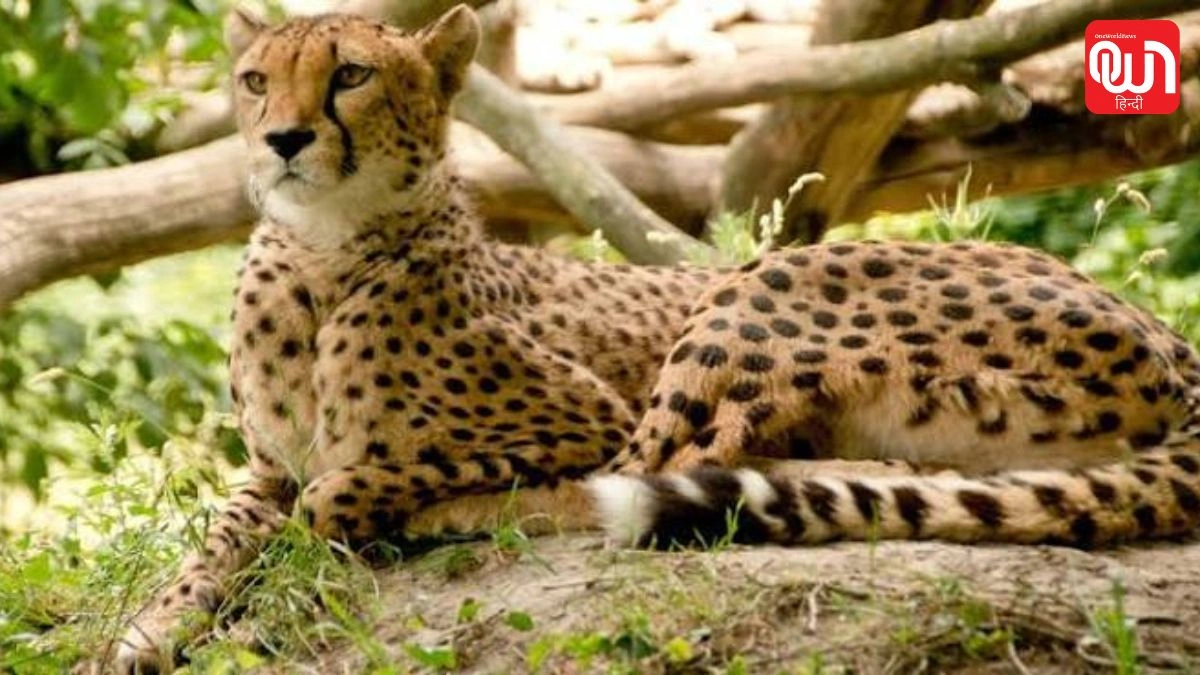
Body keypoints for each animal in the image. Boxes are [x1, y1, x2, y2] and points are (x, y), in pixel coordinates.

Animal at [113, 4, 1200, 672]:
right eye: (256, 80)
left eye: (349, 75)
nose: (281, 140)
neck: (319, 256)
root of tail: (1170, 341)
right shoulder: (266, 469)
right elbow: (216, 541)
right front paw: (150, 628)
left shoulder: (576, 417)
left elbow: (357, 481)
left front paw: (395, 505)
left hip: (759, 287)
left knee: (655, 469)